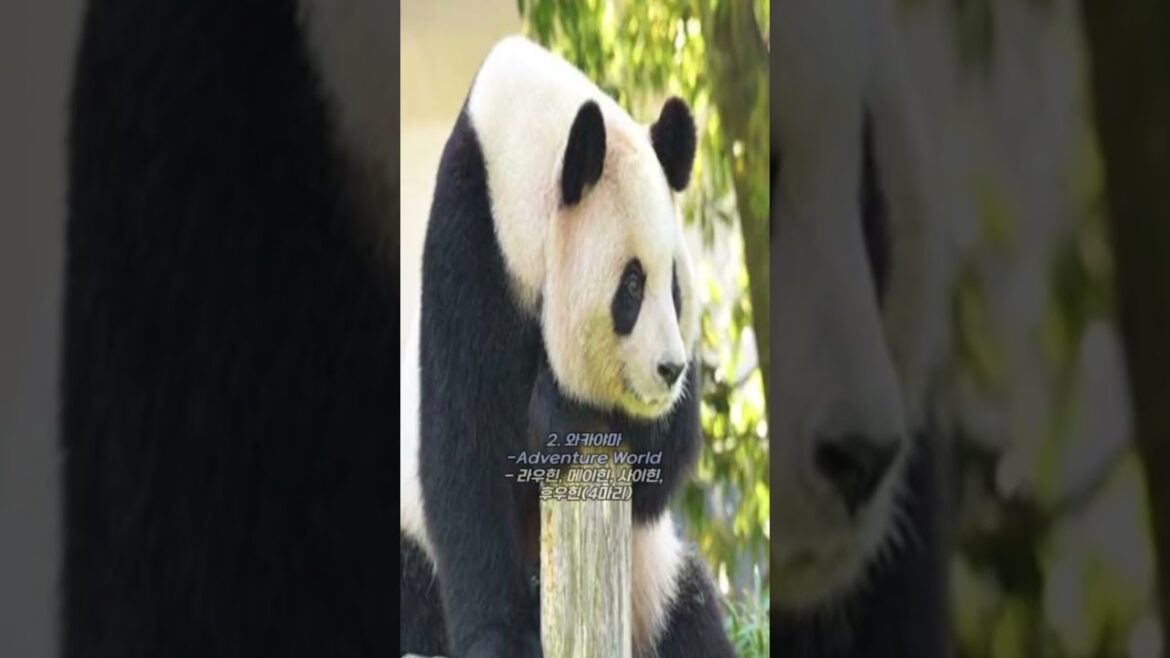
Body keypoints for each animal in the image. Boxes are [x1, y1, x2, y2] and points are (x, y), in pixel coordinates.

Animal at [399, 36, 736, 658]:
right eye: (632, 285)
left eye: (674, 286)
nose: (670, 369)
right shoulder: (469, 253)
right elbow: (465, 449)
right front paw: (500, 638)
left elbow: (661, 464)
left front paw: (560, 407)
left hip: (653, 582)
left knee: (690, 615)